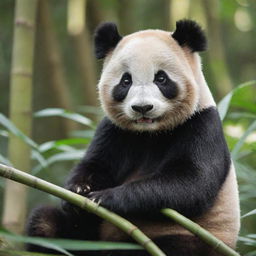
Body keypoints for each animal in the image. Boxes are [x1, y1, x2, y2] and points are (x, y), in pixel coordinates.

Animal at [26, 20, 240, 256]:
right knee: (46, 222)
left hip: (192, 238)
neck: (150, 133)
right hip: (88, 236)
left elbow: (191, 182)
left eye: (161, 78)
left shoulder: (201, 125)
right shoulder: (116, 131)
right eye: (125, 81)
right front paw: (79, 189)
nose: (142, 107)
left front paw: (106, 197)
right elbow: (97, 164)